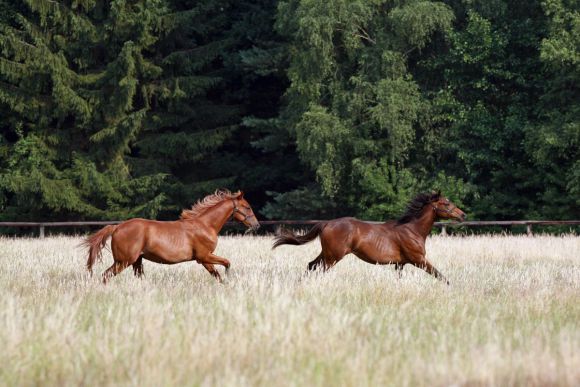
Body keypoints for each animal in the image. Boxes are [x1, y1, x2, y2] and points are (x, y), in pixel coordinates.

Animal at [83, 190, 258, 284]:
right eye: (248, 207)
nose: (257, 225)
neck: (205, 225)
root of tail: (117, 227)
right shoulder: (204, 256)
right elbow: (227, 263)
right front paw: (229, 279)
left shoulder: (205, 259)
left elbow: (216, 275)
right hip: (124, 261)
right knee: (106, 275)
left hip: (136, 261)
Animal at [274, 192, 466, 284]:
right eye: (446, 203)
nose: (463, 215)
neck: (413, 230)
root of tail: (326, 223)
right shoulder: (419, 260)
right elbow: (441, 276)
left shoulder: (400, 264)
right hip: (333, 257)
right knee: (318, 269)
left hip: (327, 253)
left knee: (311, 265)